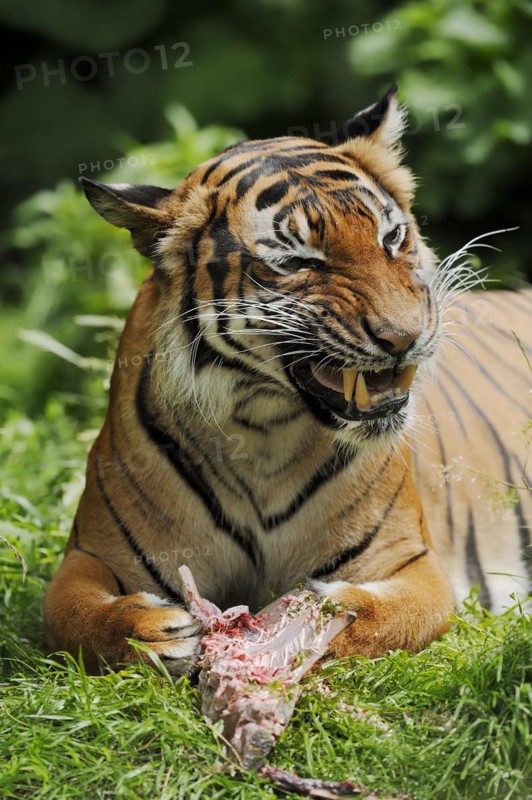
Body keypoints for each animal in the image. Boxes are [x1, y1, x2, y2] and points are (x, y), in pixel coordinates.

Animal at [44, 85, 531, 676]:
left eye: (392, 237)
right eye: (297, 261)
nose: (405, 337)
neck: (261, 427)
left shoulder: (412, 562)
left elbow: (370, 619)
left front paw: (309, 622)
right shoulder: (90, 553)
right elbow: (72, 615)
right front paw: (157, 635)